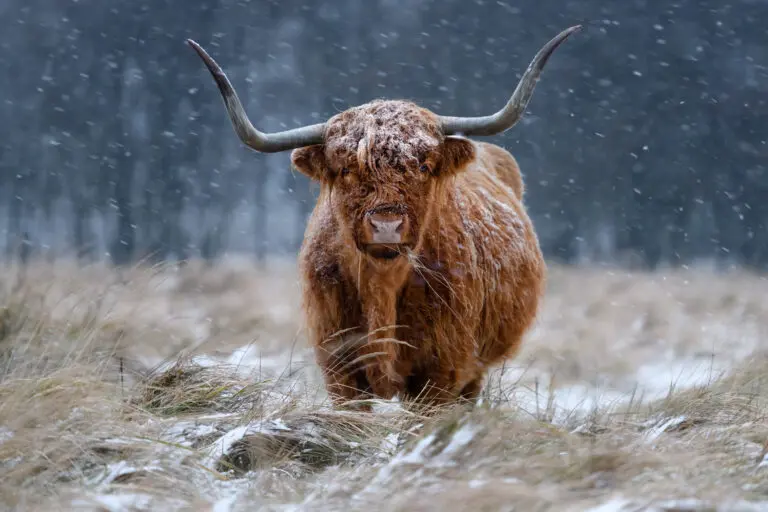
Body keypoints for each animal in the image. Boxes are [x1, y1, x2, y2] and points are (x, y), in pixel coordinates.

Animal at [189, 26, 580, 410]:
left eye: (423, 166)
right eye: (346, 169)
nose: (386, 226)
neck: (382, 286)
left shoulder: (442, 369)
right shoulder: (340, 368)